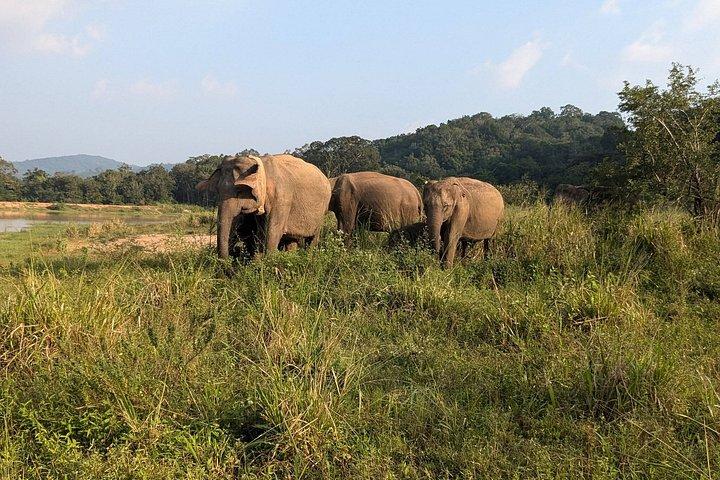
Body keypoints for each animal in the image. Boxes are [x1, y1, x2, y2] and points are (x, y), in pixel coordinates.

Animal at [196, 154, 331, 259]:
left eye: (239, 191)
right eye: (218, 191)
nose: (233, 254)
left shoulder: (281, 199)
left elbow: (272, 233)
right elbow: (261, 234)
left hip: (322, 210)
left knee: (313, 239)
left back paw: (309, 258)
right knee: (291, 240)